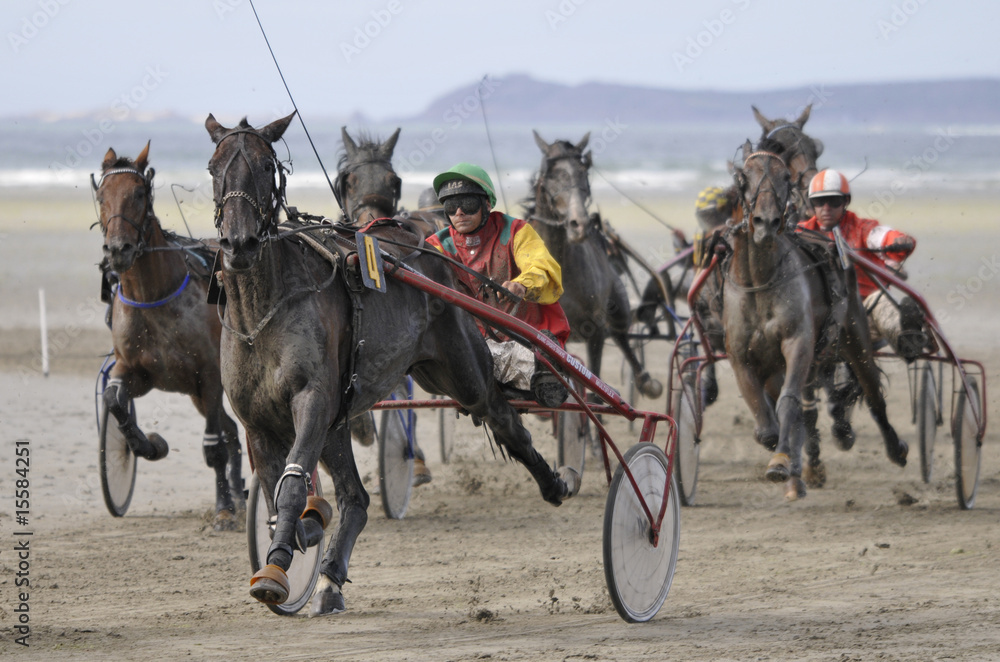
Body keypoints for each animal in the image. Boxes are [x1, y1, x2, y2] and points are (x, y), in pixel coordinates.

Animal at [94, 143, 246, 532]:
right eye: (102, 195)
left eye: (138, 193)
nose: (118, 249)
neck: (153, 296)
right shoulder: (136, 371)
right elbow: (115, 400)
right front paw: (148, 445)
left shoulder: (209, 376)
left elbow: (213, 446)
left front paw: (224, 510)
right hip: (193, 394)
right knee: (231, 430)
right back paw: (239, 491)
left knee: (227, 431)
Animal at [203, 113, 580, 616]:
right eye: (213, 166)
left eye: (266, 165)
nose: (238, 242)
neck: (262, 311)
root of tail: (427, 253)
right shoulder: (260, 421)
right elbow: (275, 490)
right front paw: (304, 531)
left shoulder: (313, 399)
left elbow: (291, 486)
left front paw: (278, 568)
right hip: (348, 412)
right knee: (357, 498)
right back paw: (330, 581)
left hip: (460, 367)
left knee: (502, 417)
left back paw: (557, 481)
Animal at [524, 130, 664, 400]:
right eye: (551, 173)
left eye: (583, 172)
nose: (579, 225)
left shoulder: (595, 331)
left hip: (618, 310)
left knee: (621, 336)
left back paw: (646, 382)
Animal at [724, 141, 912, 504]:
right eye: (743, 178)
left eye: (785, 177)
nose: (766, 221)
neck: (761, 281)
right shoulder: (742, 358)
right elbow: (766, 425)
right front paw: (784, 455)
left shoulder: (798, 343)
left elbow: (789, 403)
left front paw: (781, 461)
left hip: (854, 336)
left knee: (872, 394)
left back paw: (893, 447)